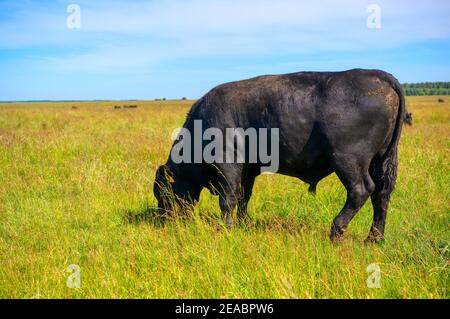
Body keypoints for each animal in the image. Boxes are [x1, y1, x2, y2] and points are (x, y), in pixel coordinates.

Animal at [153, 68, 406, 242]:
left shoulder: (228, 165)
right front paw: (243, 223)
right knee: (381, 194)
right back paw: (373, 239)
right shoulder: (248, 170)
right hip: (378, 161)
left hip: (349, 162)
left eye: (163, 191)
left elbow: (228, 200)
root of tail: (378, 76)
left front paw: (224, 228)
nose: (162, 219)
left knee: (361, 191)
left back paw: (336, 230)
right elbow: (244, 197)